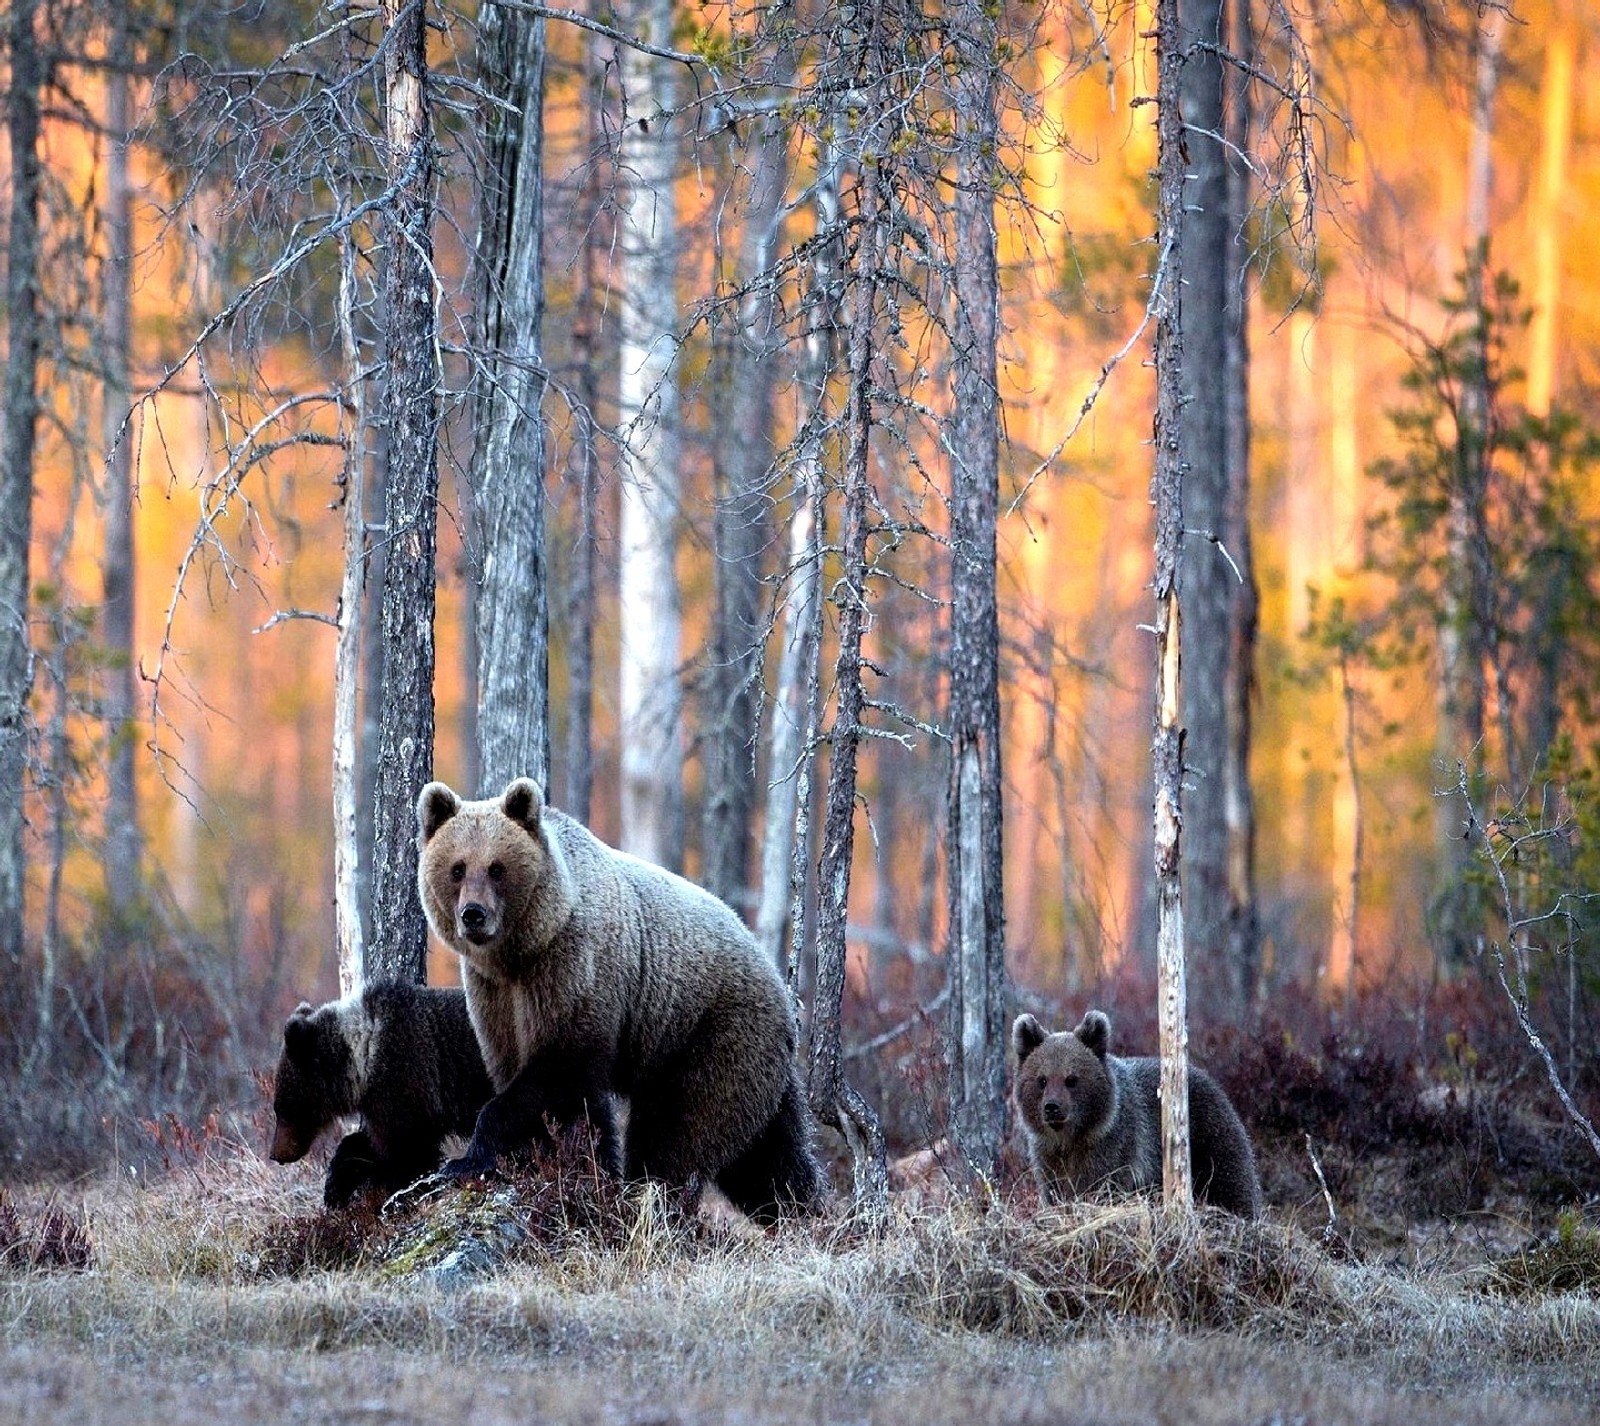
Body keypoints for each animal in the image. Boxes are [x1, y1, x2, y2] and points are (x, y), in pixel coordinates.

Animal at [270, 979, 492, 1203]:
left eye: (283, 1109)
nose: (275, 1154)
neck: (363, 1059)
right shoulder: (382, 1102)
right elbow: (368, 1143)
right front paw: (336, 1184)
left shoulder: (405, 1082)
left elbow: (409, 1152)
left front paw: (404, 1192)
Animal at [1011, 1011, 1260, 1222]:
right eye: (1042, 1080)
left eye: (1071, 1079)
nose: (1052, 1107)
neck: (1073, 1137)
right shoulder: (1047, 1155)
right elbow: (1054, 1189)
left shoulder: (1113, 1146)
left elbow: (1099, 1184)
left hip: (1211, 1136)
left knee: (1231, 1180)